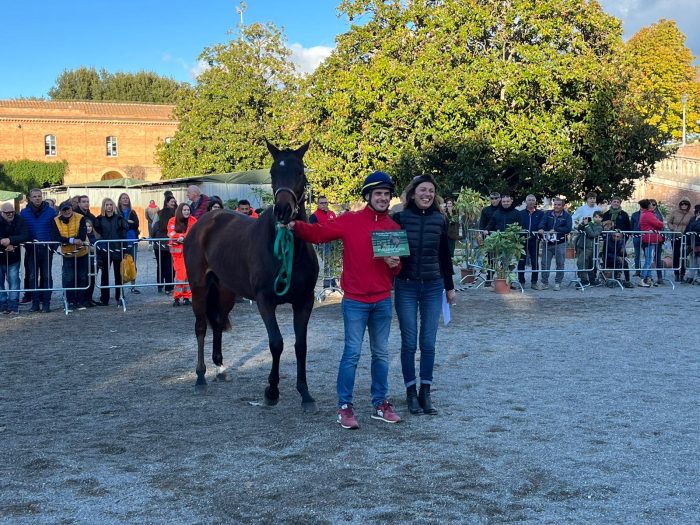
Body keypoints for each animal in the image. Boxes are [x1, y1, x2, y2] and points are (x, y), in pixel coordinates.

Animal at [183, 141, 320, 408]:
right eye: (273, 172)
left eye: (299, 172)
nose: (283, 210)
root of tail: (204, 220)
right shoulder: (265, 301)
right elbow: (276, 343)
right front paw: (272, 391)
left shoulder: (304, 301)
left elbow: (301, 345)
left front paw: (305, 393)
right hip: (199, 287)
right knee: (201, 327)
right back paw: (200, 377)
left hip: (225, 290)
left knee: (217, 322)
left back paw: (220, 368)